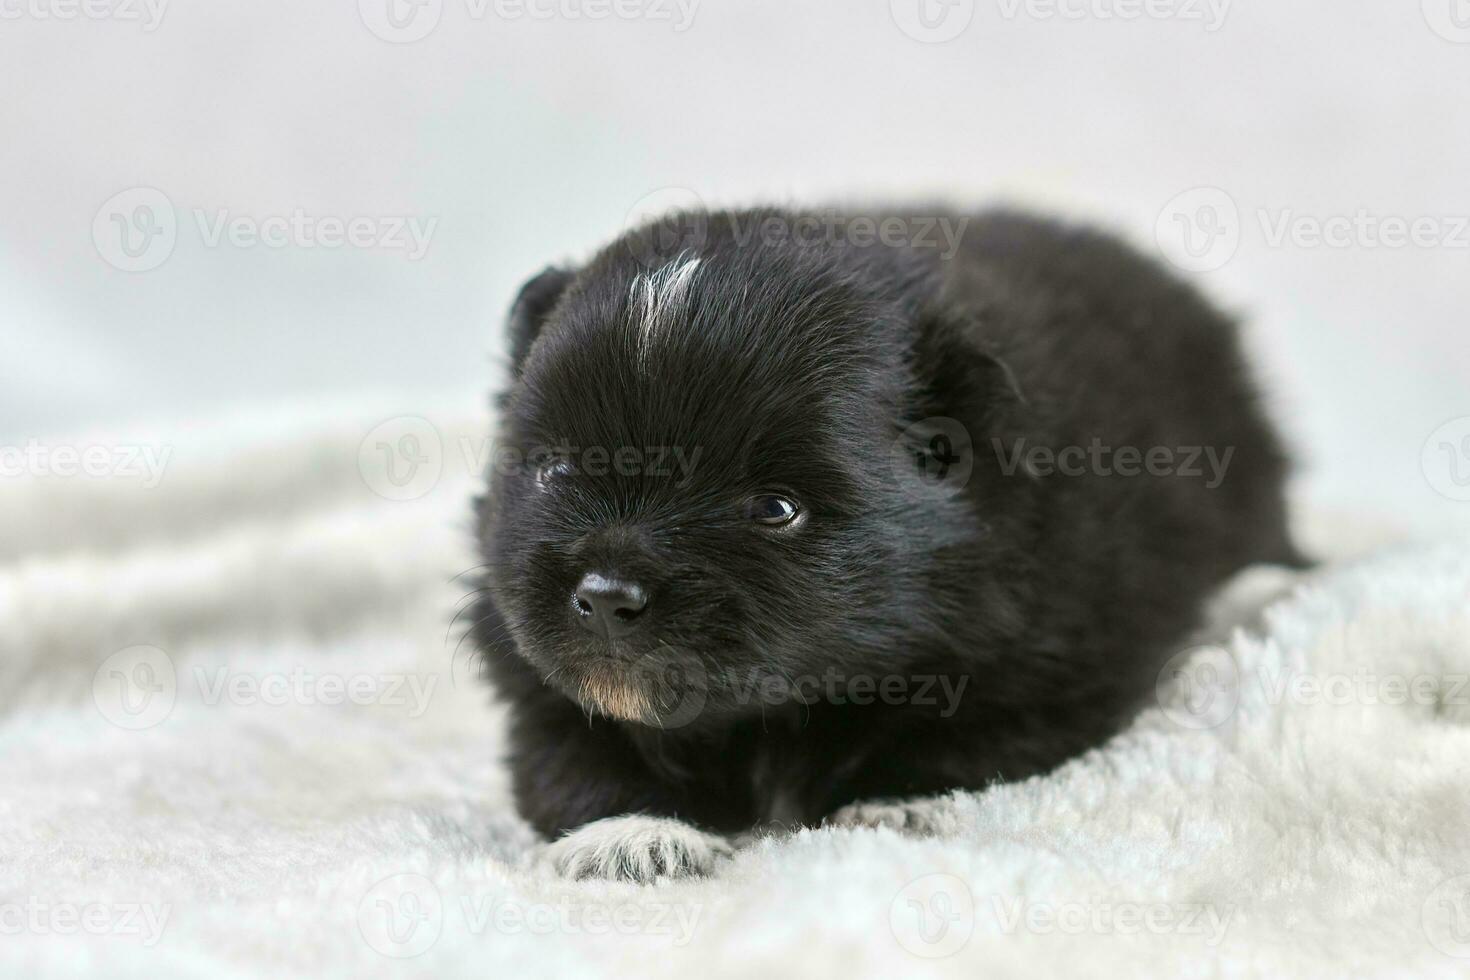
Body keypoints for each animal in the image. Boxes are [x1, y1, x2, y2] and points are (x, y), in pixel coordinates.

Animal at [470, 207, 1299, 881]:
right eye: (556, 470)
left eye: (776, 508)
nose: (607, 597)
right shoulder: (527, 667)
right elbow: (569, 744)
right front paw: (631, 831)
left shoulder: (1063, 652)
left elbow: (971, 730)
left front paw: (892, 802)